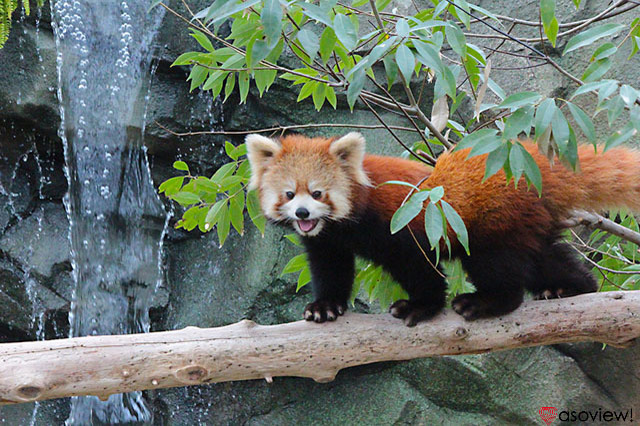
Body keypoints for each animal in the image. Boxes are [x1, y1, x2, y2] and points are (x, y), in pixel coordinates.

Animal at [248, 133, 640, 326]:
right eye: (289, 194)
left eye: (317, 193)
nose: (302, 212)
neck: (350, 222)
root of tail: (534, 166)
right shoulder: (328, 239)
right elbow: (330, 269)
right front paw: (326, 307)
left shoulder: (402, 223)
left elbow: (420, 268)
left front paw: (421, 306)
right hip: (526, 222)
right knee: (546, 257)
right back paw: (572, 286)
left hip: (494, 224)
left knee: (498, 268)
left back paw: (486, 301)